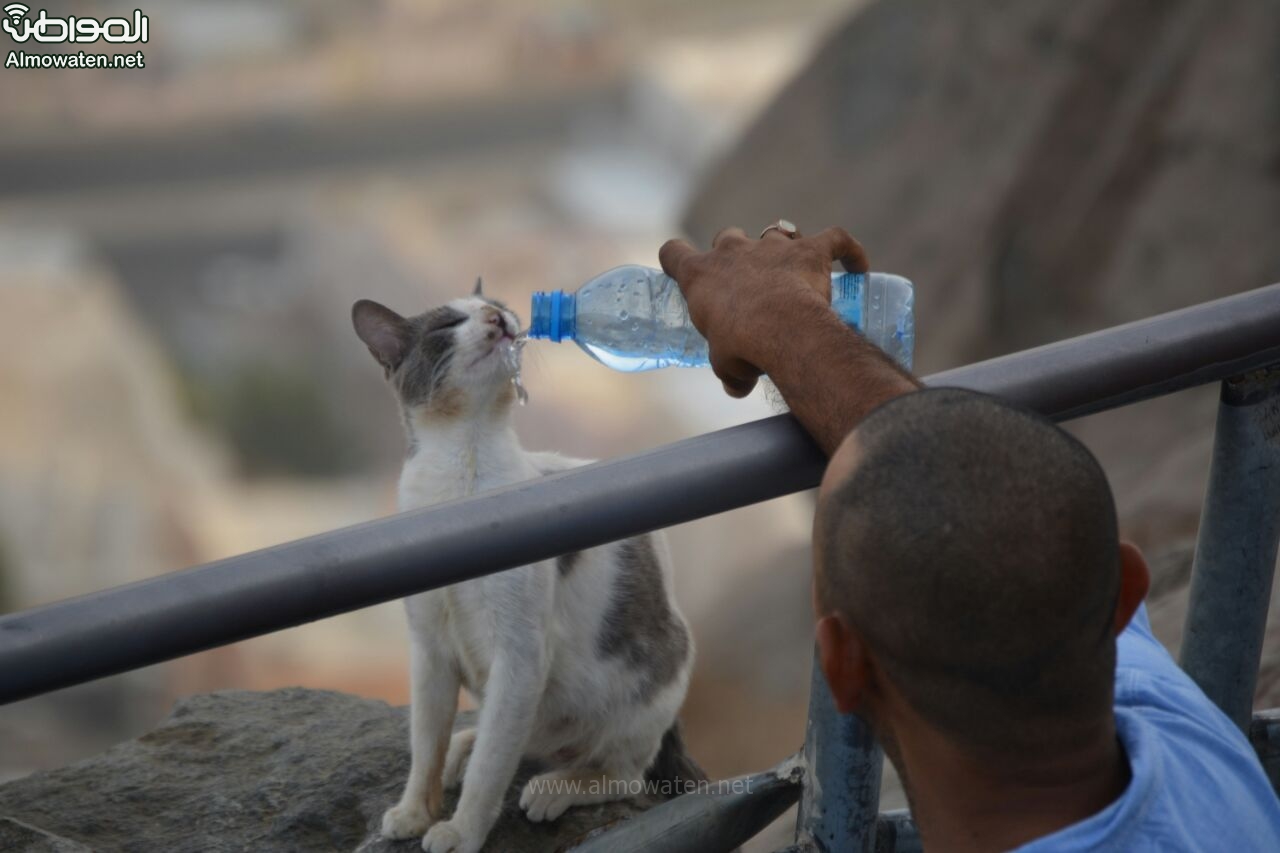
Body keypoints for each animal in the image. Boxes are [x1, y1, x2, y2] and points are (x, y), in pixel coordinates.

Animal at [350, 279, 701, 850]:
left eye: (499, 309)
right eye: (448, 324)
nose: (499, 319)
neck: (462, 484)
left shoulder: (519, 655)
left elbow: (492, 769)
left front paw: (461, 831)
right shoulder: (429, 652)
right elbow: (425, 744)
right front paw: (414, 812)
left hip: (647, 683)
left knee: (624, 773)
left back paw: (555, 787)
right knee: (508, 738)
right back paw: (465, 746)